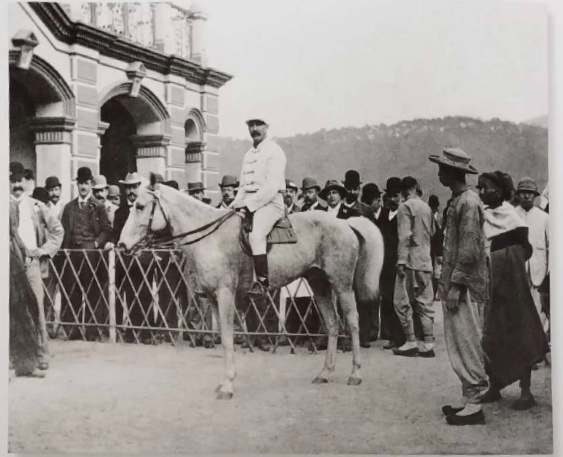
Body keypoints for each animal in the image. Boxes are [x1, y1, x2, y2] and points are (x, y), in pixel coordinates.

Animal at [118, 178, 384, 400]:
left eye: (140, 206)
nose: (122, 245)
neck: (210, 236)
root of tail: (345, 223)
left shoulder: (225, 294)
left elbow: (227, 338)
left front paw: (227, 385)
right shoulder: (213, 298)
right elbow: (224, 337)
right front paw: (225, 381)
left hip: (341, 285)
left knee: (352, 321)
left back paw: (355, 374)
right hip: (319, 285)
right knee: (332, 323)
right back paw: (325, 373)